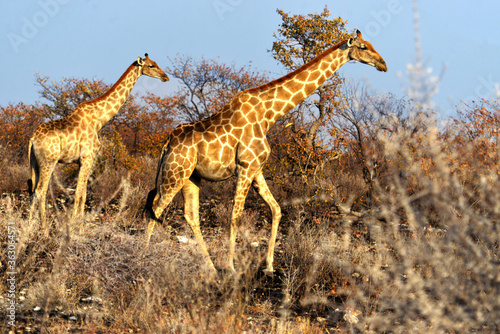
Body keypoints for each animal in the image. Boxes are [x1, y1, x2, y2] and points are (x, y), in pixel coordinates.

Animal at [28, 53, 169, 228]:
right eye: (151, 65)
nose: (165, 77)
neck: (99, 120)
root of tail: (33, 138)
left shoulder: (83, 161)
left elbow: (83, 193)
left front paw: (79, 227)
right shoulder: (87, 158)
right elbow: (79, 193)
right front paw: (75, 227)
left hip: (35, 163)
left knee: (33, 191)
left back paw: (28, 227)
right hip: (49, 161)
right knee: (41, 191)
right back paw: (45, 229)